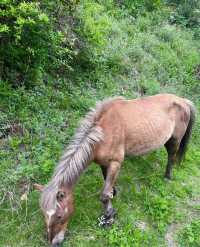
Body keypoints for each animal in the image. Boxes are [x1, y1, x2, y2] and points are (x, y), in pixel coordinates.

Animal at [34, 93, 195, 246]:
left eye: (59, 216)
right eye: (44, 214)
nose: (54, 242)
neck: (103, 133)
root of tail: (183, 100)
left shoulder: (115, 163)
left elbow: (104, 195)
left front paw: (108, 216)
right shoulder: (103, 164)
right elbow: (107, 182)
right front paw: (114, 193)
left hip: (174, 140)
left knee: (171, 157)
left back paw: (167, 176)